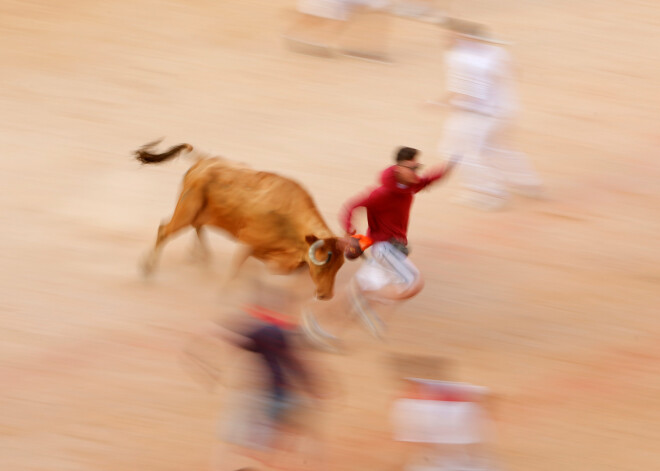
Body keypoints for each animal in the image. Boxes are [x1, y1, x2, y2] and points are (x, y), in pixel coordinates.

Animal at [134, 141, 346, 302]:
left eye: (340, 265)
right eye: (323, 263)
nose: (326, 295)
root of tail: (203, 160)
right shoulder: (247, 243)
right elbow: (234, 271)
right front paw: (224, 295)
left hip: (198, 212)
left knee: (197, 227)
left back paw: (200, 257)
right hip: (185, 212)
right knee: (165, 230)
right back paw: (148, 269)